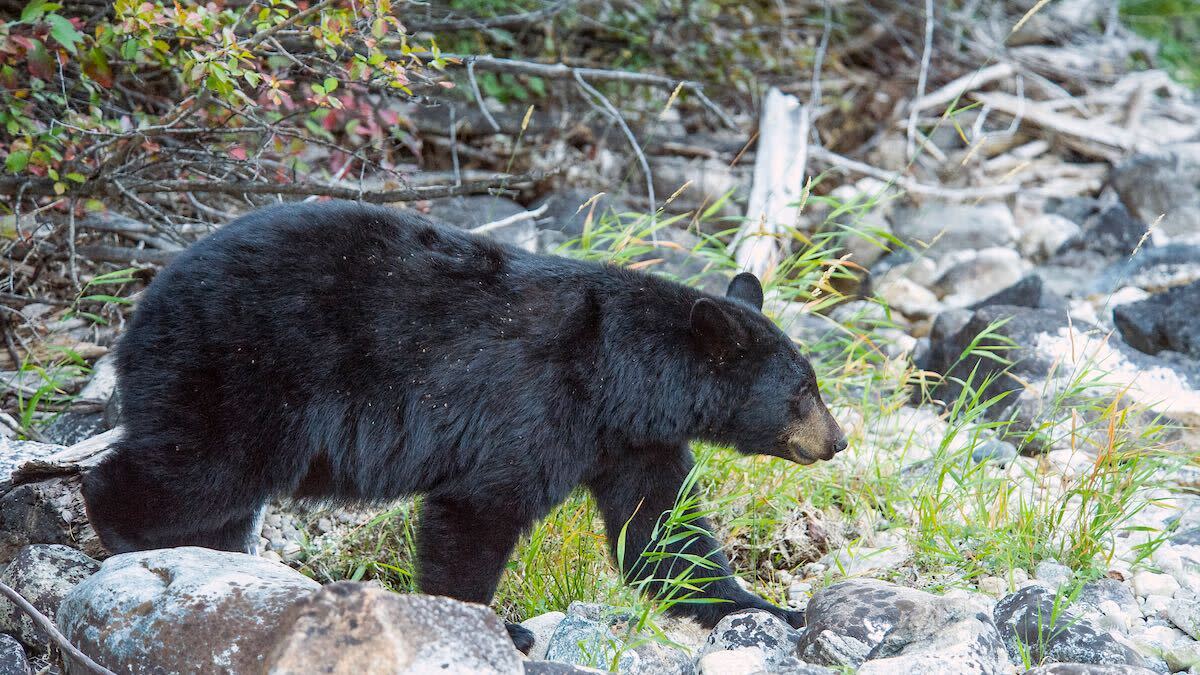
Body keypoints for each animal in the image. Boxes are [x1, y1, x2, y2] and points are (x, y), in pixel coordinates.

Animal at [81, 200, 847, 652]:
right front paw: (493, 626)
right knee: (198, 465)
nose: (838, 440)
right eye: (803, 391)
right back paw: (127, 534)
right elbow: (477, 509)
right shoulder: (541, 405)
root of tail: (144, 305)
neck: (622, 376)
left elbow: (663, 535)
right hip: (240, 370)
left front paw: (774, 610)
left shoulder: (632, 440)